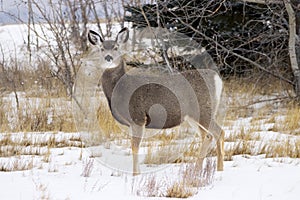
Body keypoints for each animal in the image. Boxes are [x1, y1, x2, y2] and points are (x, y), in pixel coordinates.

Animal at [88, 27, 224, 175]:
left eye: (116, 47)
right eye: (101, 48)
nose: (109, 58)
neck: (119, 89)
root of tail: (217, 79)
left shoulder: (138, 117)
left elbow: (134, 147)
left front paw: (136, 174)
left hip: (203, 110)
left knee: (216, 133)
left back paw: (208, 169)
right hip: (193, 116)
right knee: (209, 135)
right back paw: (211, 169)